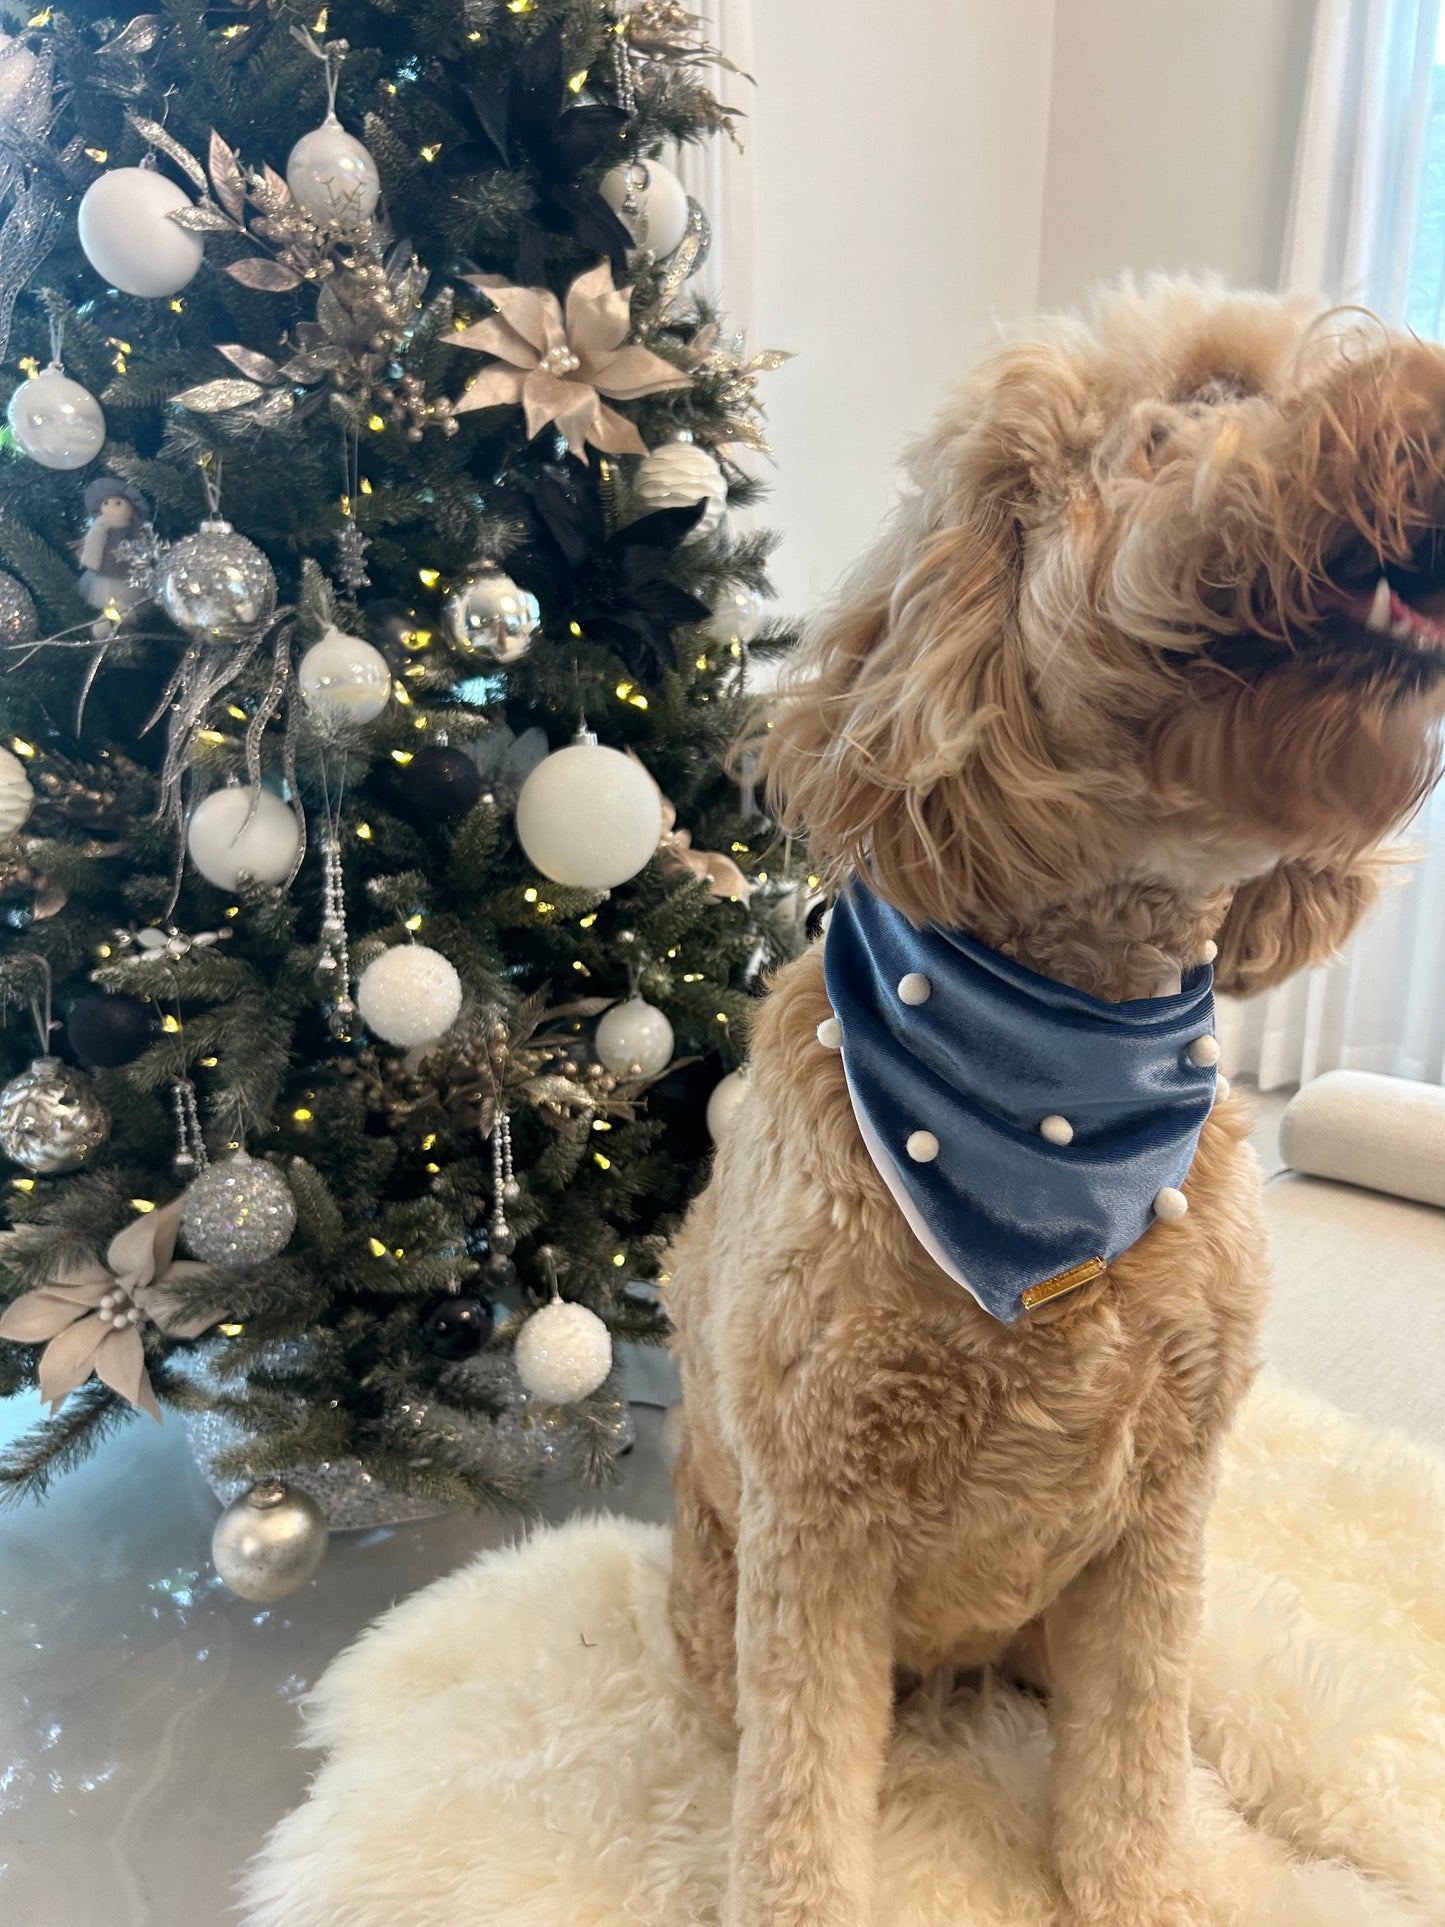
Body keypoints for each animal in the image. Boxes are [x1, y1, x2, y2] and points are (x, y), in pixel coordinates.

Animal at [666, 281, 1445, 1927]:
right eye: (1210, 393)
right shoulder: (815, 1529)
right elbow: (800, 1812)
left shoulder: (1159, 1513)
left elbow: (1130, 1774)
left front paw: (1149, 1886)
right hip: (723, 1588)